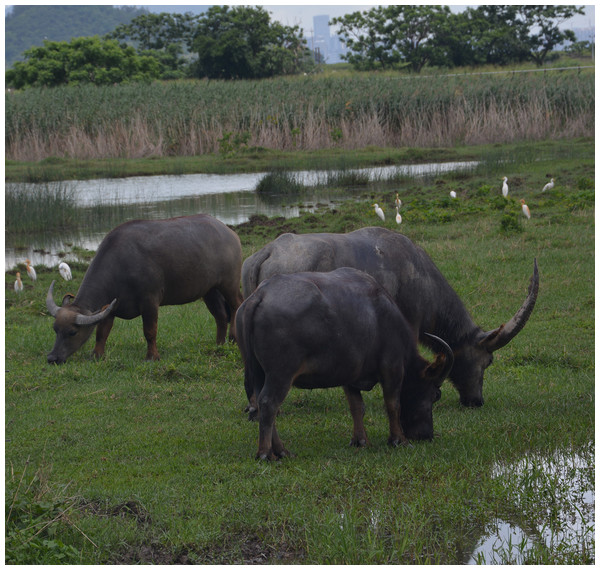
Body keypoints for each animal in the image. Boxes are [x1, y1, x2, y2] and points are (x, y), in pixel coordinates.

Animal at [46, 213, 244, 364]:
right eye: (55, 329)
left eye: (72, 332)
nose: (52, 358)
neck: (121, 265)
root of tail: (229, 233)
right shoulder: (108, 308)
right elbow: (102, 333)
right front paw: (97, 355)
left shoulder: (150, 301)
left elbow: (149, 331)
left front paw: (152, 356)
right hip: (210, 290)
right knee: (220, 315)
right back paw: (219, 343)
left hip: (229, 283)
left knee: (236, 305)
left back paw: (234, 338)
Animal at [234, 266, 450, 458]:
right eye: (435, 395)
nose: (426, 436)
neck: (383, 316)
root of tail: (260, 295)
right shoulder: (393, 367)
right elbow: (393, 404)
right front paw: (399, 440)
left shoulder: (350, 375)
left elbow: (357, 407)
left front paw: (361, 440)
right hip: (281, 374)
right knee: (269, 403)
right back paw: (266, 453)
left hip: (259, 372)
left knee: (261, 404)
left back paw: (280, 450)